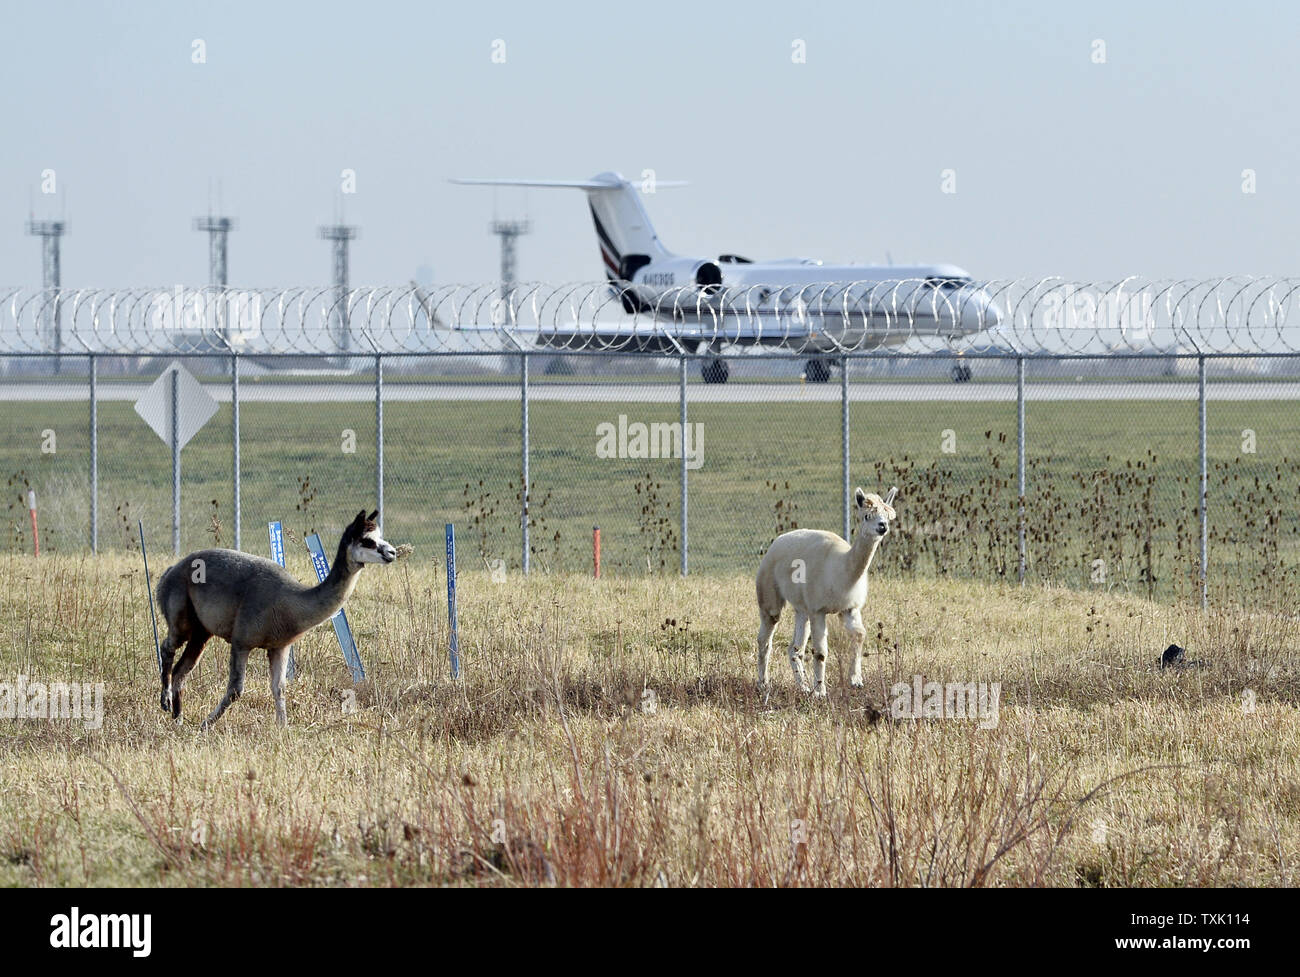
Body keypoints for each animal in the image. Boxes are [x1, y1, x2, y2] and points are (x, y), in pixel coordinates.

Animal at [756, 486, 897, 696]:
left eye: (887, 516)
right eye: (866, 516)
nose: (882, 527)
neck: (840, 571)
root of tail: (777, 541)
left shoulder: (850, 608)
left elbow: (859, 635)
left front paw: (856, 680)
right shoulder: (818, 609)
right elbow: (821, 652)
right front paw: (820, 692)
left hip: (802, 608)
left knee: (794, 648)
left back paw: (803, 686)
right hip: (768, 589)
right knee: (765, 638)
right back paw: (763, 683)